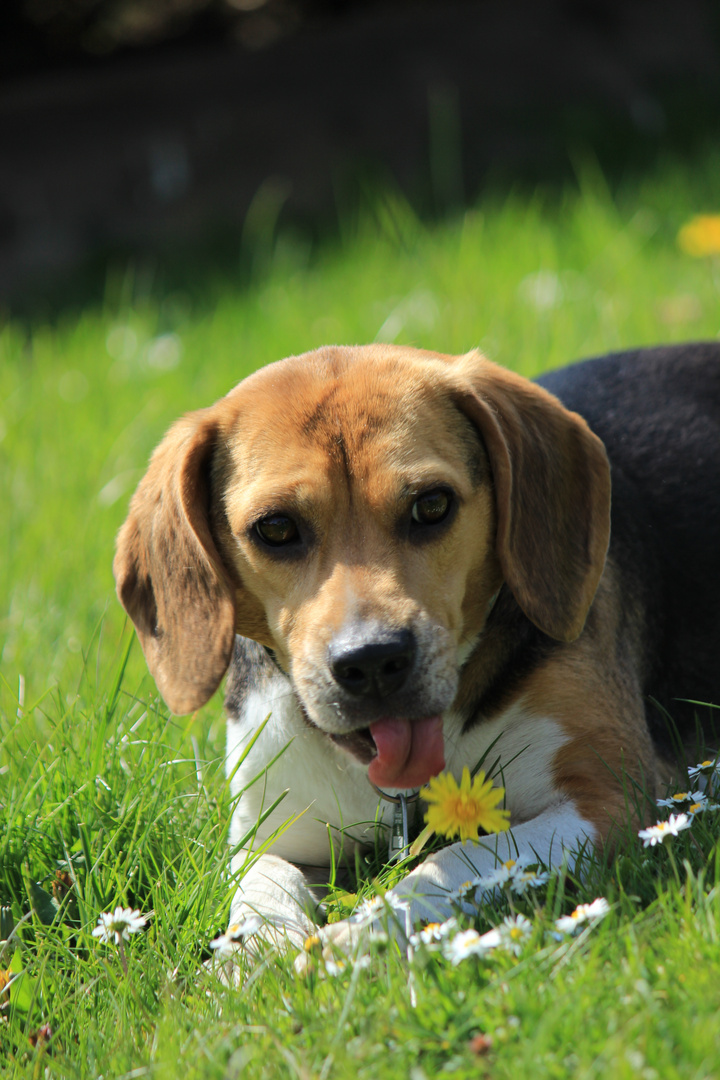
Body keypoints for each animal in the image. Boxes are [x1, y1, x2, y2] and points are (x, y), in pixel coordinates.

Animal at [111, 339, 720, 963]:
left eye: (431, 505)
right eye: (276, 528)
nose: (372, 660)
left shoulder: (609, 799)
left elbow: (455, 860)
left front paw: (359, 937)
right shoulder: (275, 834)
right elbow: (264, 889)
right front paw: (253, 958)